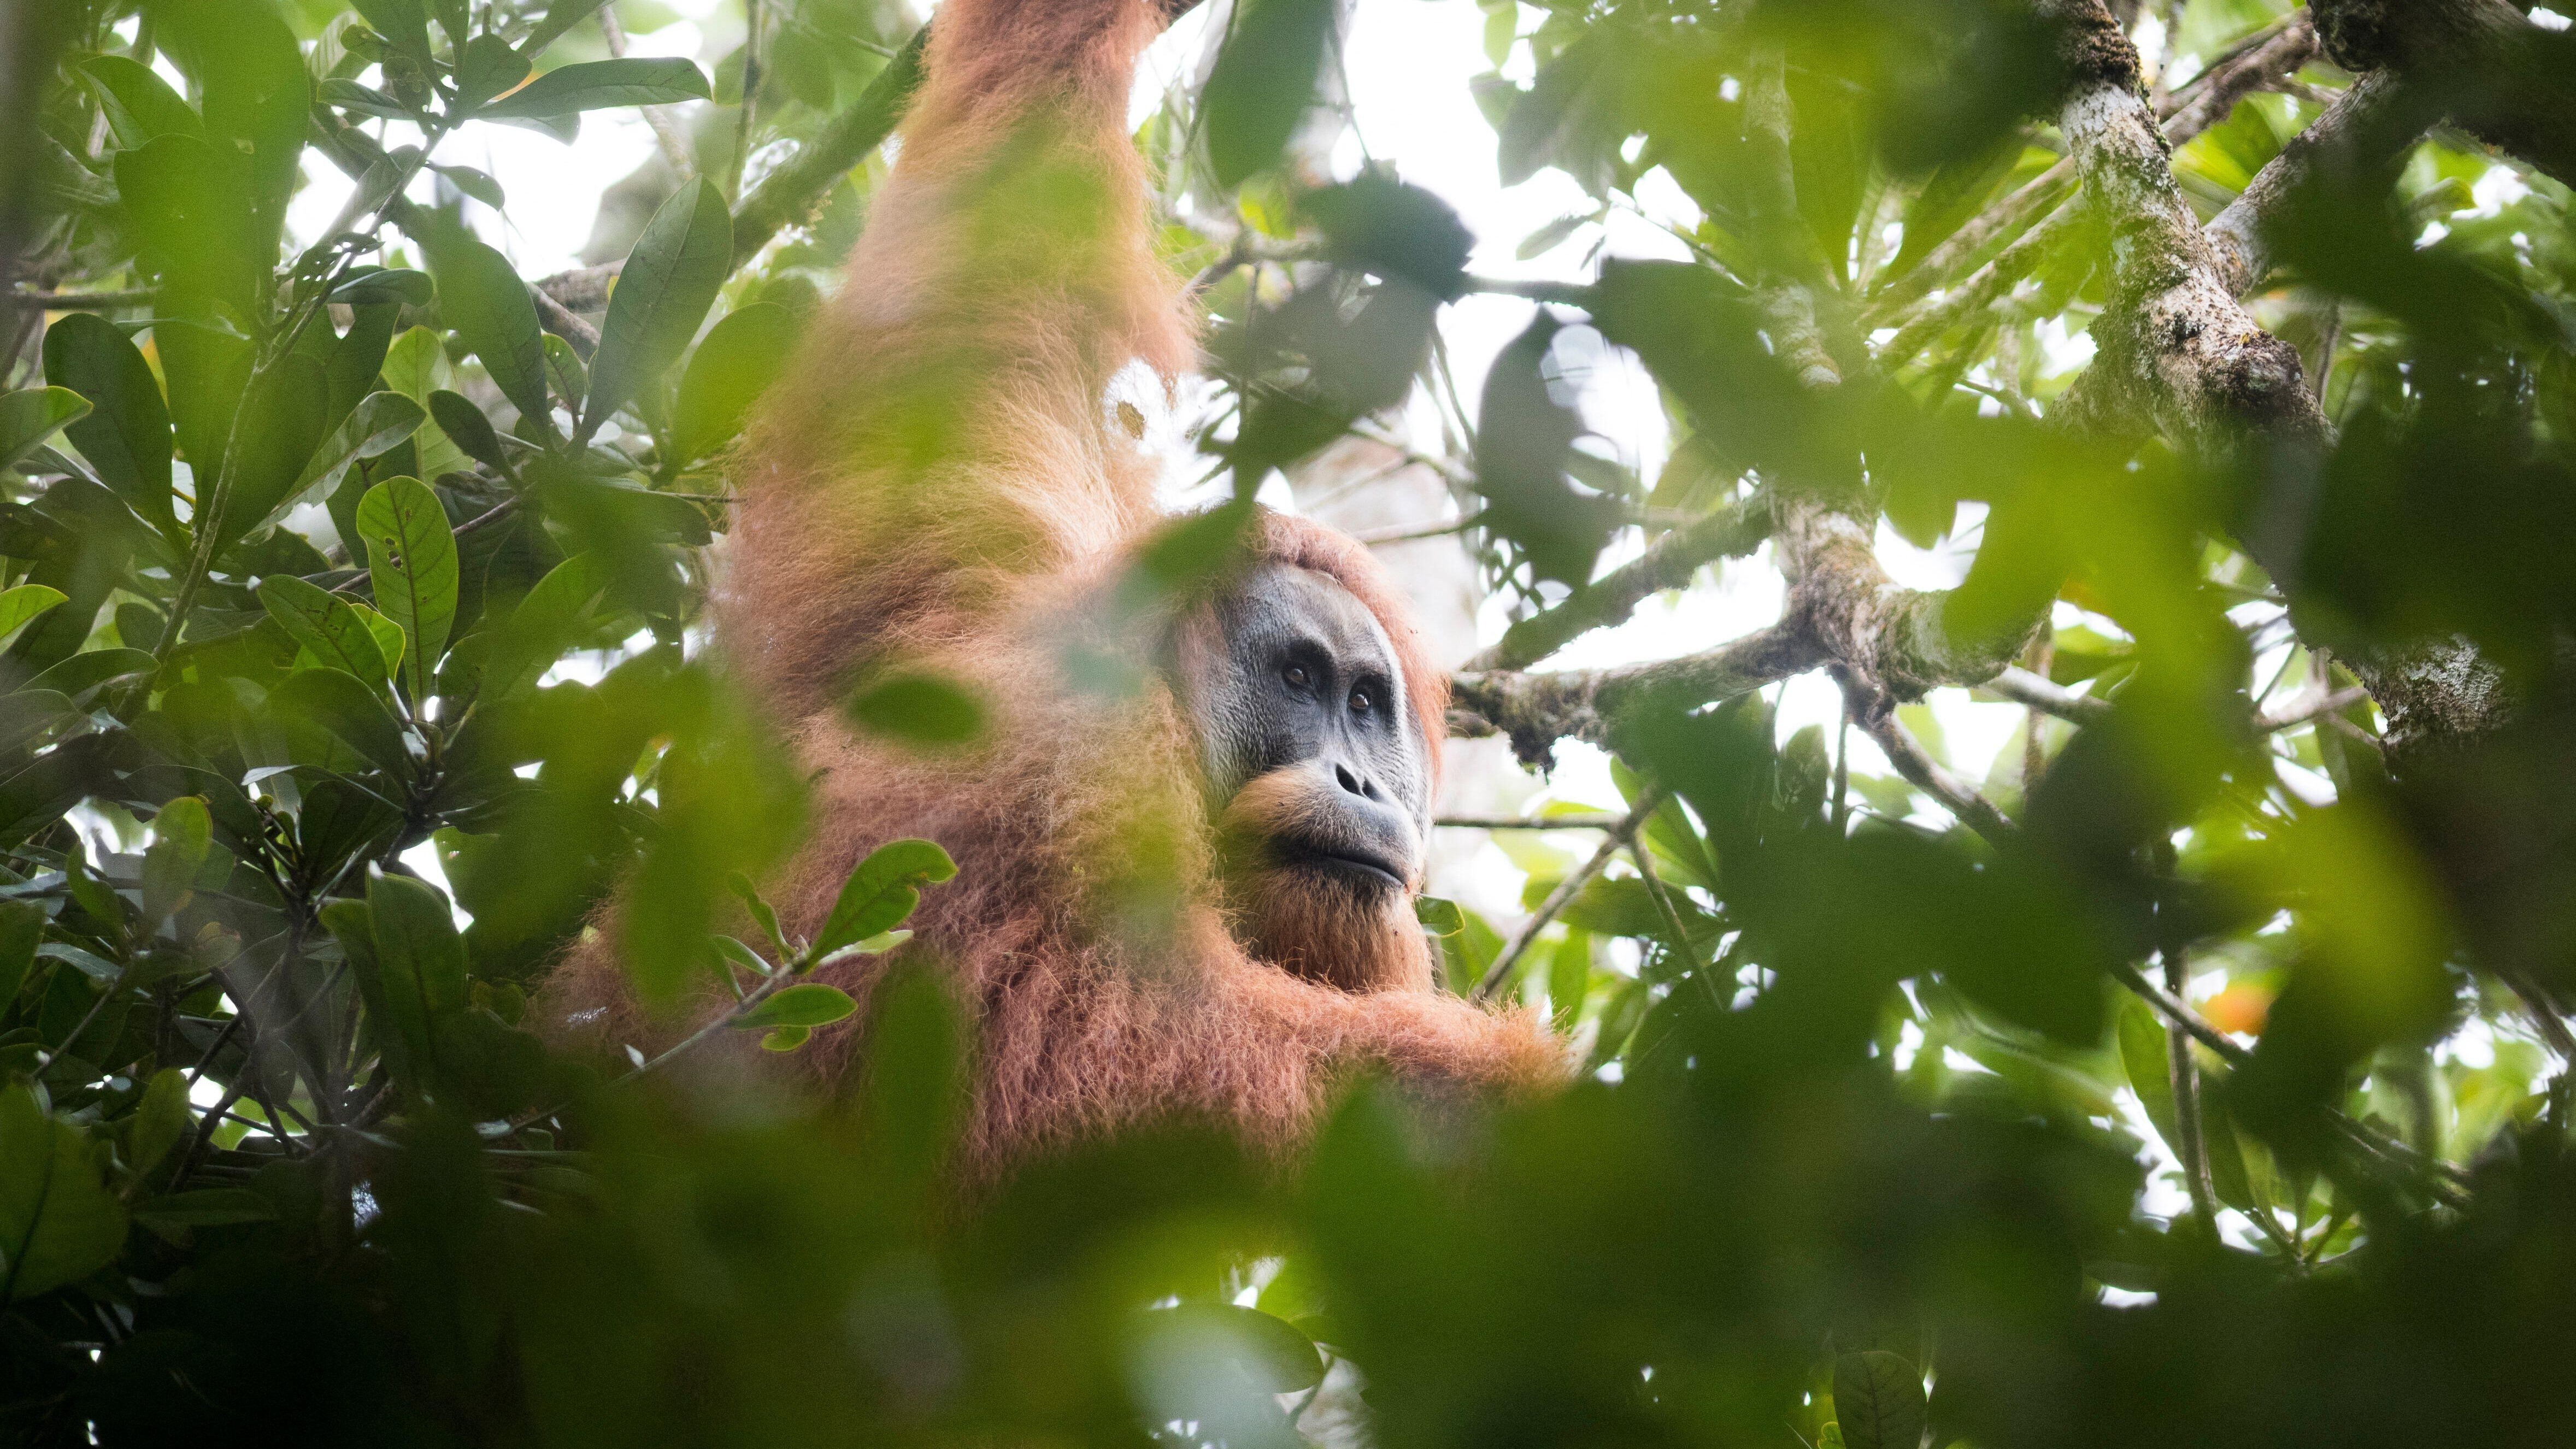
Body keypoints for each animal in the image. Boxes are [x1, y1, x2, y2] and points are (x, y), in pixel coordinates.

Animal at [538, 0, 1565, 1181]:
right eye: (1301, 680)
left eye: (1363, 701)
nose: (1358, 779)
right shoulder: (1070, 758)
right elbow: (1053, 1035)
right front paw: (1505, 1101)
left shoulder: (968, 546)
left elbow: (997, 242)